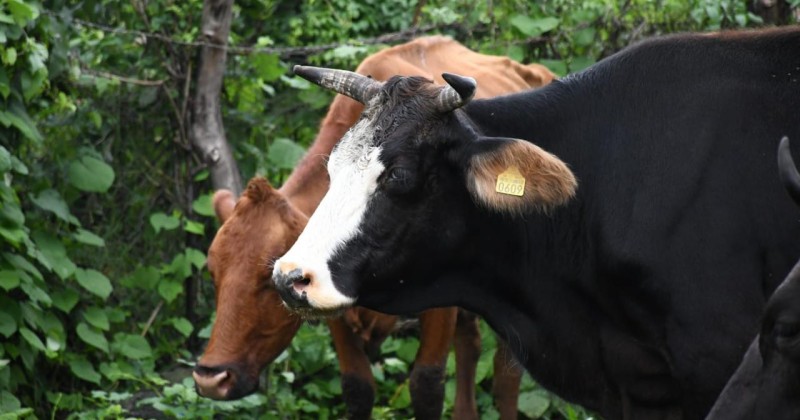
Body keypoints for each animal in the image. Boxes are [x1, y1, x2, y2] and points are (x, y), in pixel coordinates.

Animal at [194, 37, 556, 420]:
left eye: (265, 280)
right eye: (214, 273)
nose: (210, 378)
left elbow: (426, 384)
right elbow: (357, 387)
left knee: (505, 373)